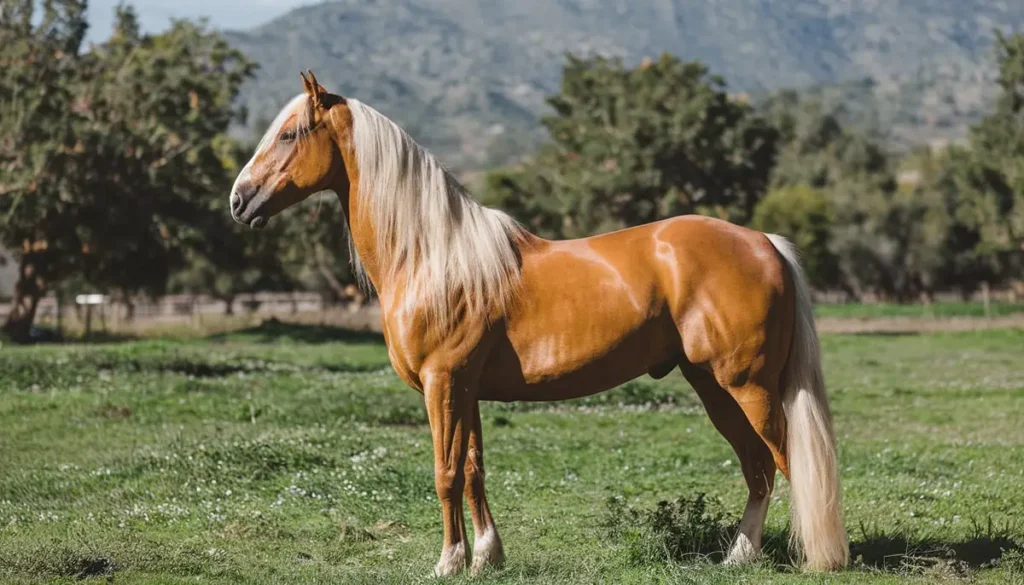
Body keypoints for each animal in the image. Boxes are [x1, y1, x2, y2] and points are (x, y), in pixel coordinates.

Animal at [230, 69, 847, 577]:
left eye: (289, 134)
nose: (239, 201)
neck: (433, 256)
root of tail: (764, 241)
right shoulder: (467, 390)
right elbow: (473, 468)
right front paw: (486, 556)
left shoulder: (443, 383)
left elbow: (445, 472)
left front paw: (448, 562)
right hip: (714, 386)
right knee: (758, 467)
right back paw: (739, 556)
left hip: (748, 386)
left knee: (788, 463)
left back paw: (814, 557)